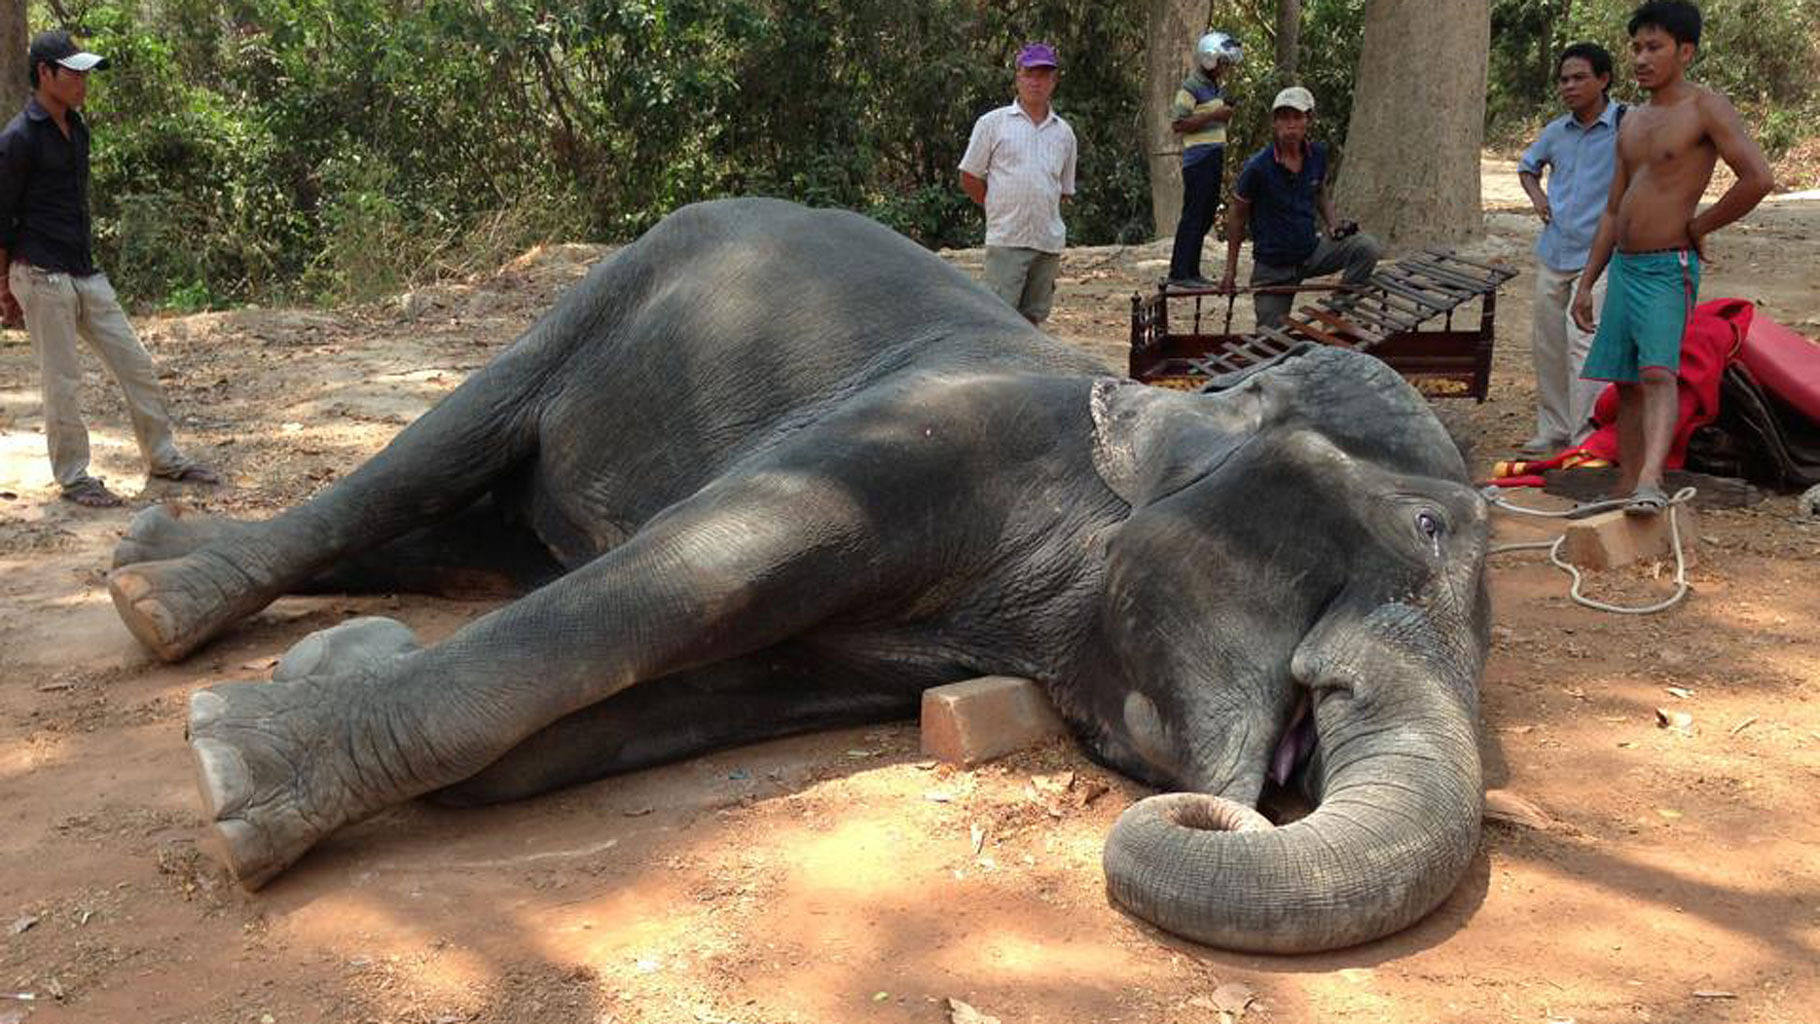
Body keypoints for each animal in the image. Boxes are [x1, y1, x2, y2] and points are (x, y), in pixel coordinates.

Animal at [106, 198, 1485, 953]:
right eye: (1420, 527)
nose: (1236, 805)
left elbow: (634, 711)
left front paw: (337, 665)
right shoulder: (920, 437)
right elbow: (689, 572)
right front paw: (233, 766)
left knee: (474, 529)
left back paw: (161, 564)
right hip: (605, 290)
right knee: (433, 456)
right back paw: (154, 600)